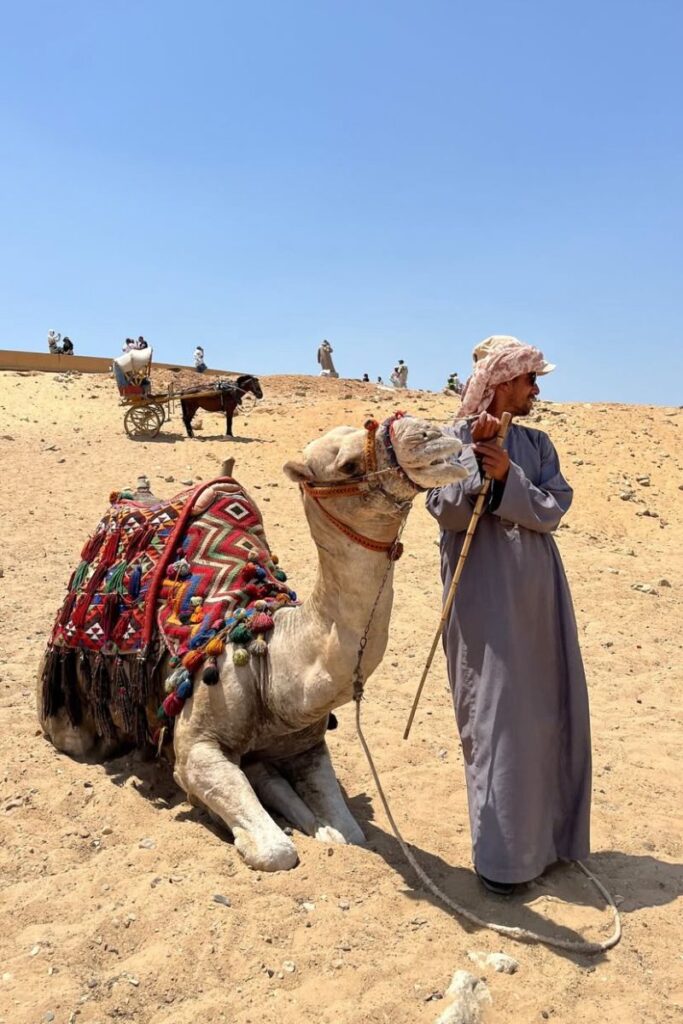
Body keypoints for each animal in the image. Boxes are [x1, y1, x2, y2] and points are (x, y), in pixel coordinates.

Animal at [37, 414, 467, 871]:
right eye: (348, 464)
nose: (429, 433)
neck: (273, 660)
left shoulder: (307, 746)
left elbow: (349, 834)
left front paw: (320, 827)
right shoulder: (197, 745)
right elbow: (276, 850)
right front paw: (234, 821)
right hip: (70, 709)